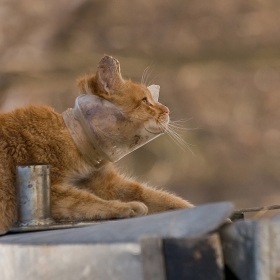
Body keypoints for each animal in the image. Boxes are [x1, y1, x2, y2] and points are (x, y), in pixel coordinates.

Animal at [0, 55, 192, 232]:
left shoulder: (110, 184)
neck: (75, 140)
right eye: (145, 101)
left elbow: (161, 198)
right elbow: (86, 200)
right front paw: (127, 207)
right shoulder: (52, 192)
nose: (167, 109)